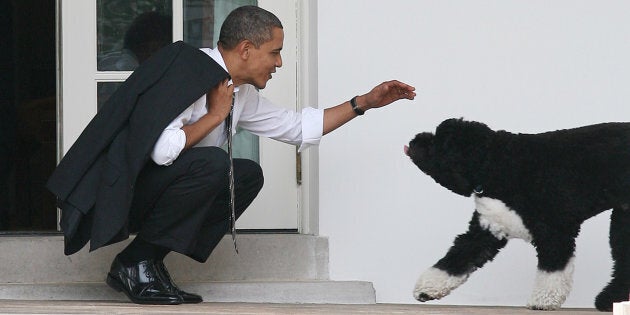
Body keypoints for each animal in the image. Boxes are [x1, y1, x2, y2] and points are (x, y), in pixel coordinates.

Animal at [404, 118, 630, 312]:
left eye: (439, 140)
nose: (414, 140)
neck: (497, 164)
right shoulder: (485, 231)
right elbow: (456, 259)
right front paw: (426, 289)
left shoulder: (555, 231)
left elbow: (552, 270)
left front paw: (543, 300)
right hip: (621, 222)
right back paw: (610, 300)